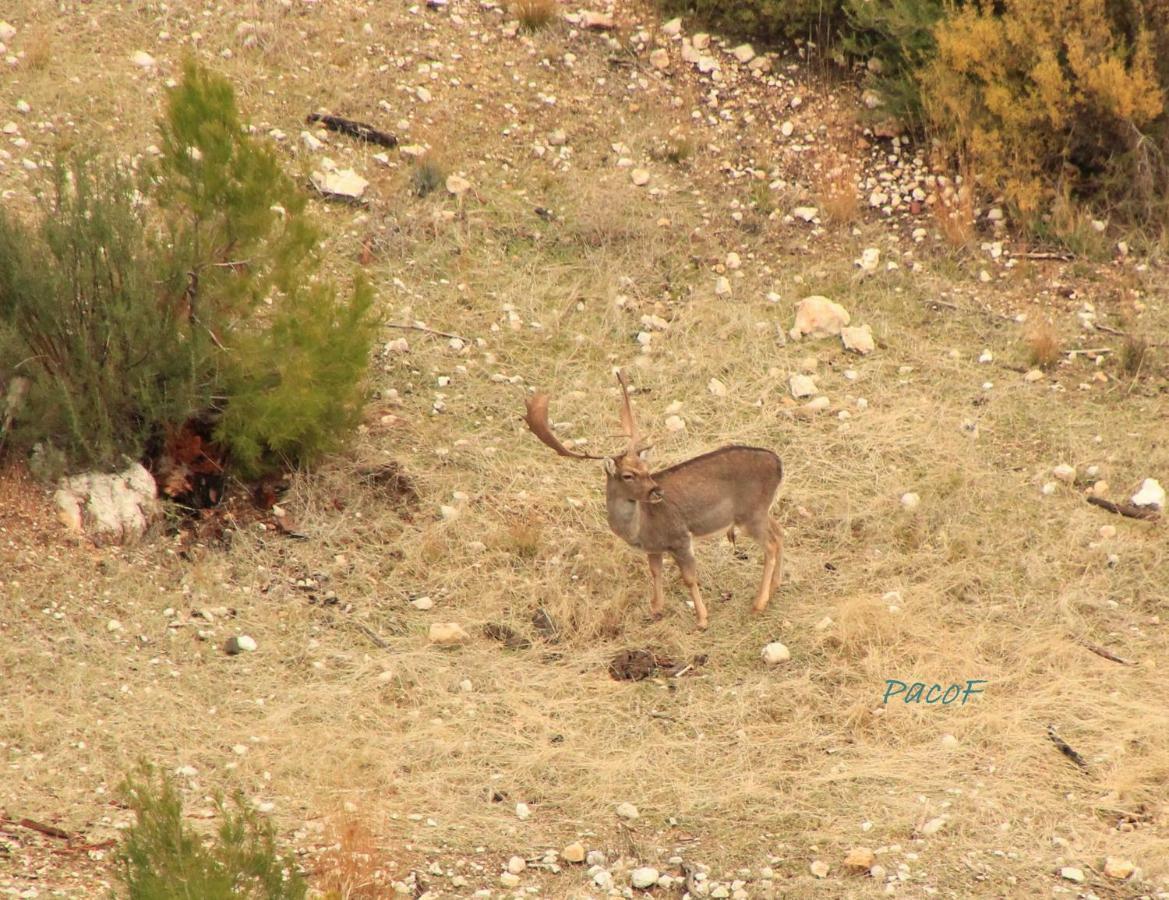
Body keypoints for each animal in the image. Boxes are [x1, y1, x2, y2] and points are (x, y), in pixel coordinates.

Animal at [523, 369, 785, 626]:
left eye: (646, 468)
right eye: (628, 475)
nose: (657, 491)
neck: (641, 528)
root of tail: (778, 464)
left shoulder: (680, 537)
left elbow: (689, 578)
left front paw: (702, 619)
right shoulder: (653, 548)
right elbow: (655, 572)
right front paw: (656, 609)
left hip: (750, 513)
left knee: (771, 544)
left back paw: (758, 604)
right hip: (761, 510)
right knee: (780, 532)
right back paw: (774, 588)